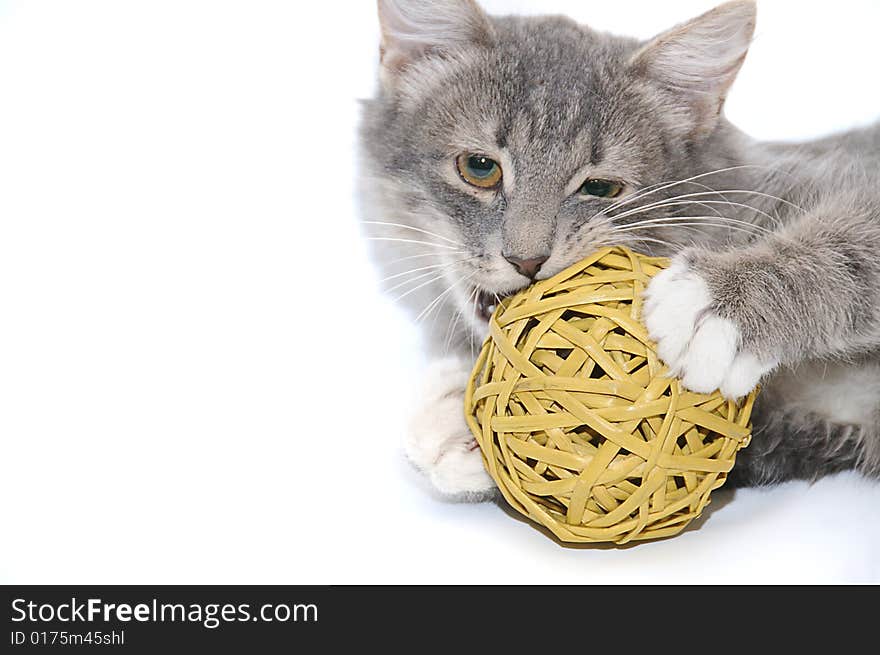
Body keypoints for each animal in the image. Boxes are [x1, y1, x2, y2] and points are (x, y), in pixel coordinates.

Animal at [356, 0, 880, 500]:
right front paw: (461, 425)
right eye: (480, 168)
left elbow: (849, 244)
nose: (527, 260)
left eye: (601, 188)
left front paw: (715, 301)